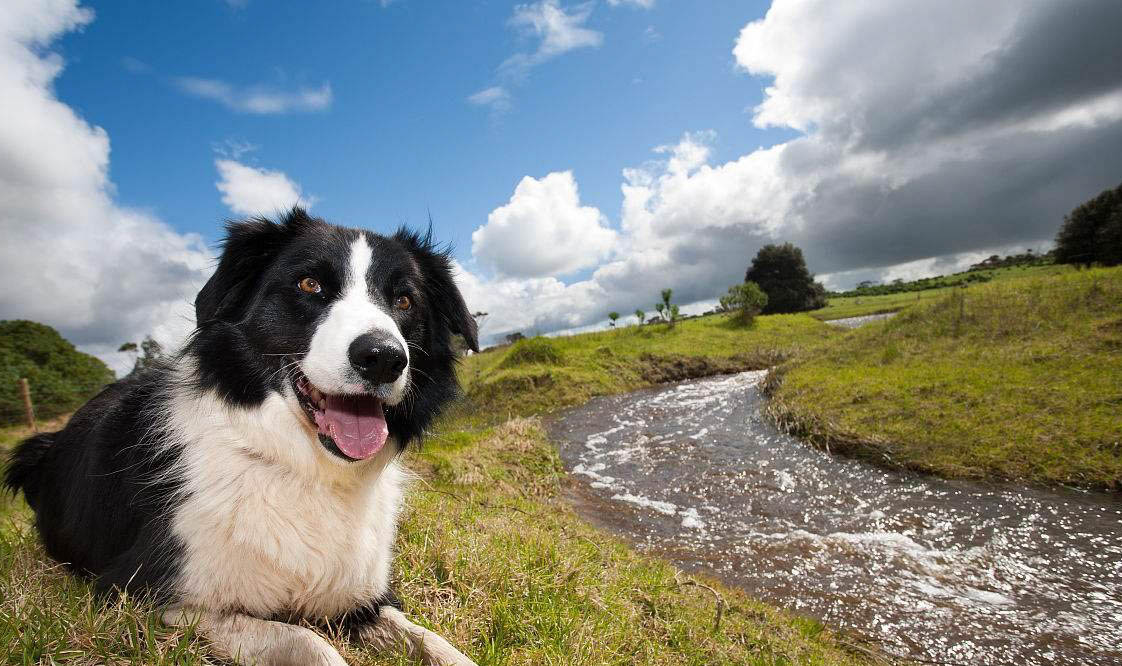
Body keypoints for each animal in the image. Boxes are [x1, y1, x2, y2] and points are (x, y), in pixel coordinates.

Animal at [5, 208, 477, 663]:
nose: (382, 358)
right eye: (309, 284)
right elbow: (308, 641)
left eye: (404, 300)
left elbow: (437, 644)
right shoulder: (148, 595)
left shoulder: (361, 597)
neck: (302, 465)